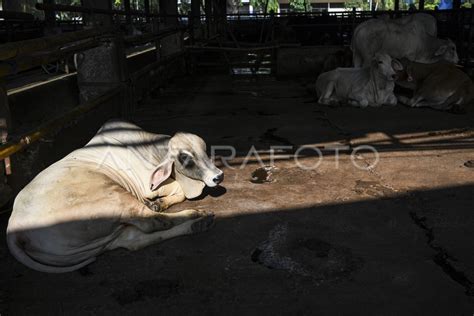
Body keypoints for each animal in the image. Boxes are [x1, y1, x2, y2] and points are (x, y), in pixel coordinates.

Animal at [6, 119, 223, 272]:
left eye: (205, 150)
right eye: (185, 157)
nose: (218, 176)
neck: (150, 147)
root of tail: (13, 228)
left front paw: (159, 203)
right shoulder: (148, 186)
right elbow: (179, 191)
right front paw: (159, 203)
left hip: (101, 240)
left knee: (134, 241)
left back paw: (197, 225)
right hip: (113, 198)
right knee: (154, 222)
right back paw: (195, 215)